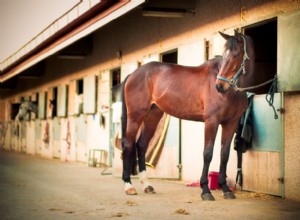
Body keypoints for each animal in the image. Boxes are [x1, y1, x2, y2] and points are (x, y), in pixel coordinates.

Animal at [120, 31, 254, 201]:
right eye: (224, 55)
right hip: (136, 116)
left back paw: (147, 185)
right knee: (127, 145)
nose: (219, 86)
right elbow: (208, 153)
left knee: (141, 145)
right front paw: (205, 190)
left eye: (236, 55)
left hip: (152, 116)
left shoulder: (231, 123)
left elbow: (224, 154)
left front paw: (225, 189)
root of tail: (133, 74)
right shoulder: (211, 121)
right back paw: (128, 186)